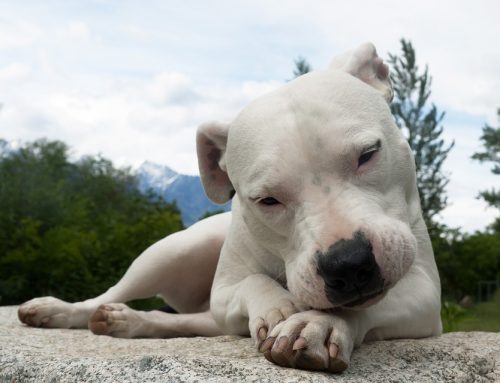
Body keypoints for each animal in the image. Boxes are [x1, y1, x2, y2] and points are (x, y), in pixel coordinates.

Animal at [17, 43, 440, 374]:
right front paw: (279, 307)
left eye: (368, 154)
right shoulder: (224, 292)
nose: (349, 263)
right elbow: (253, 282)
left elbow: (364, 305)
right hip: (171, 251)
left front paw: (317, 323)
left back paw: (129, 321)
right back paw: (60, 311)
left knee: (186, 321)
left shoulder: (424, 295)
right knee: (111, 292)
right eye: (267, 200)